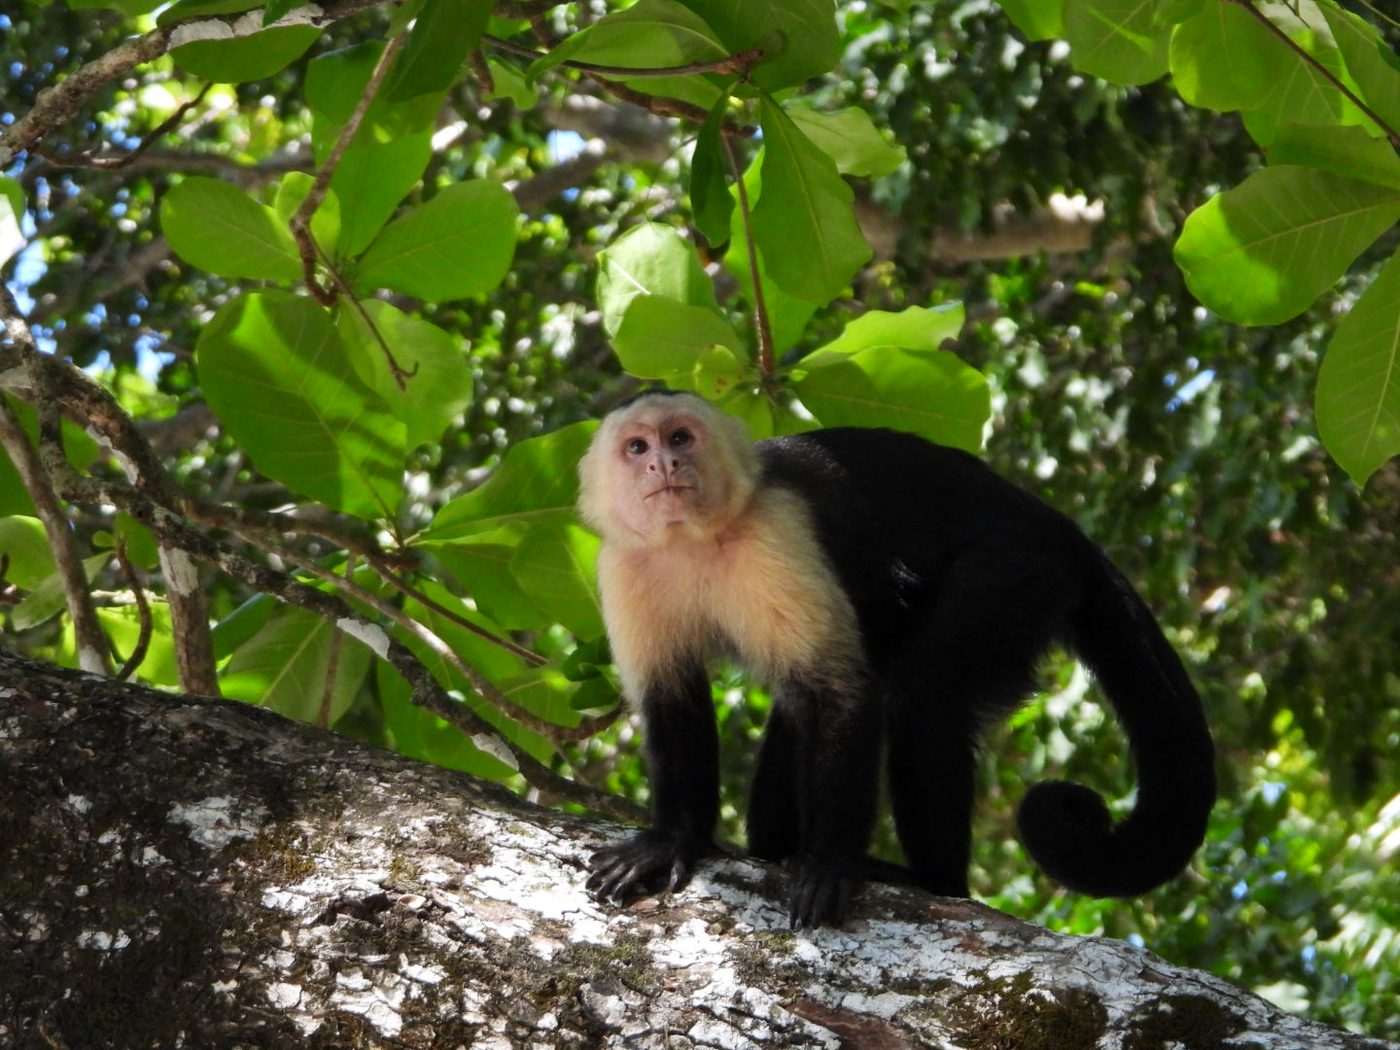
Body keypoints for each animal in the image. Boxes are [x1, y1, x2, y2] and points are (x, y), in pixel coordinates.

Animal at [577, 389, 1215, 929]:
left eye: (680, 437)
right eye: (637, 448)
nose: (664, 464)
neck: (693, 538)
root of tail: (1054, 522)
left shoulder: (775, 529)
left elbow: (840, 688)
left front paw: (830, 862)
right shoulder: (626, 564)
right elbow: (672, 699)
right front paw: (672, 840)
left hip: (1021, 569)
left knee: (922, 693)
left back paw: (934, 880)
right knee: (804, 706)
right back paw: (779, 849)